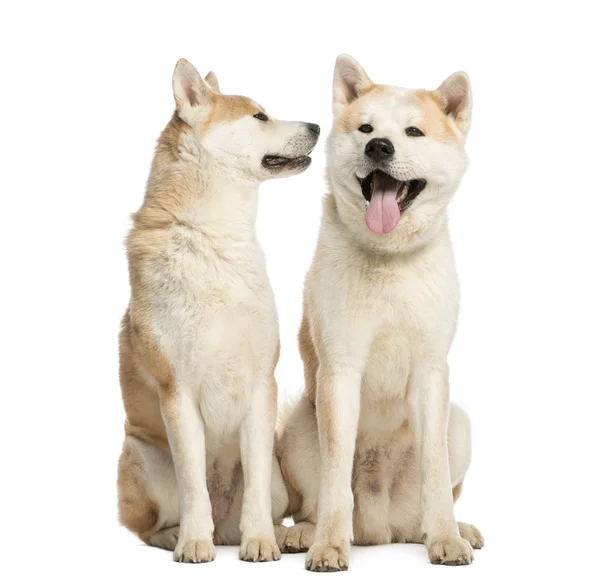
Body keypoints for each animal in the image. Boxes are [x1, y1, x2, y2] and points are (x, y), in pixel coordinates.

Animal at [118, 57, 322, 564]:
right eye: (260, 116)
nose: (317, 126)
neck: (215, 239)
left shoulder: (261, 384)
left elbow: (254, 491)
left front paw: (261, 542)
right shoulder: (178, 393)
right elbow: (193, 485)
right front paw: (194, 541)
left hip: (276, 477)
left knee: (265, 503)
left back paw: (275, 535)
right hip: (143, 459)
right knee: (151, 525)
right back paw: (178, 536)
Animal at [276, 54, 482, 568]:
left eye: (413, 131)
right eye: (366, 128)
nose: (379, 146)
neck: (388, 257)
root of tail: (379, 527)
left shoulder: (431, 371)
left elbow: (435, 473)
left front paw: (447, 538)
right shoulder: (339, 371)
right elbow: (334, 478)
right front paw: (329, 543)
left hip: (459, 423)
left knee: (421, 513)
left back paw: (456, 529)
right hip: (298, 425)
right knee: (313, 502)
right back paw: (303, 532)